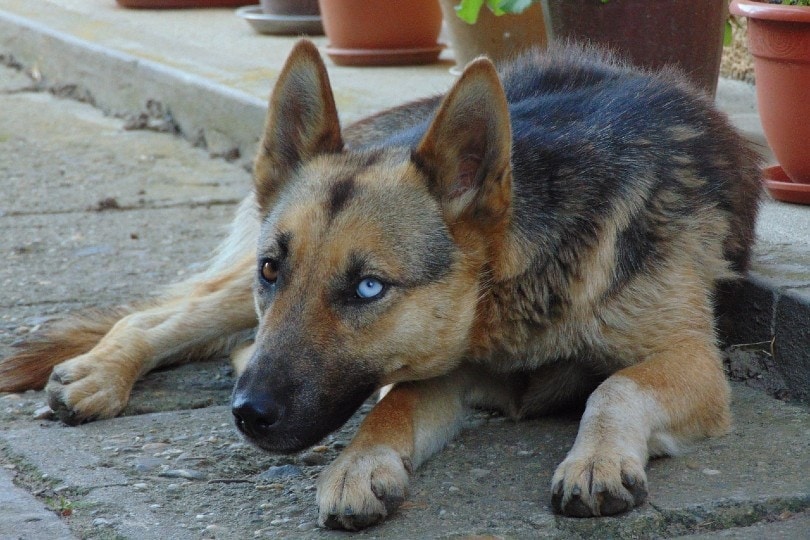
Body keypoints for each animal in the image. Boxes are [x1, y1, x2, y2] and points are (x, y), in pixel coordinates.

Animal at [0, 40, 756, 528]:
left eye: (368, 289)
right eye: (275, 270)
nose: (248, 415)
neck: (512, 291)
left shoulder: (693, 360)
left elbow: (614, 385)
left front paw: (595, 459)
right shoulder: (443, 370)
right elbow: (393, 406)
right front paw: (359, 464)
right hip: (231, 296)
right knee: (162, 316)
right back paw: (100, 373)